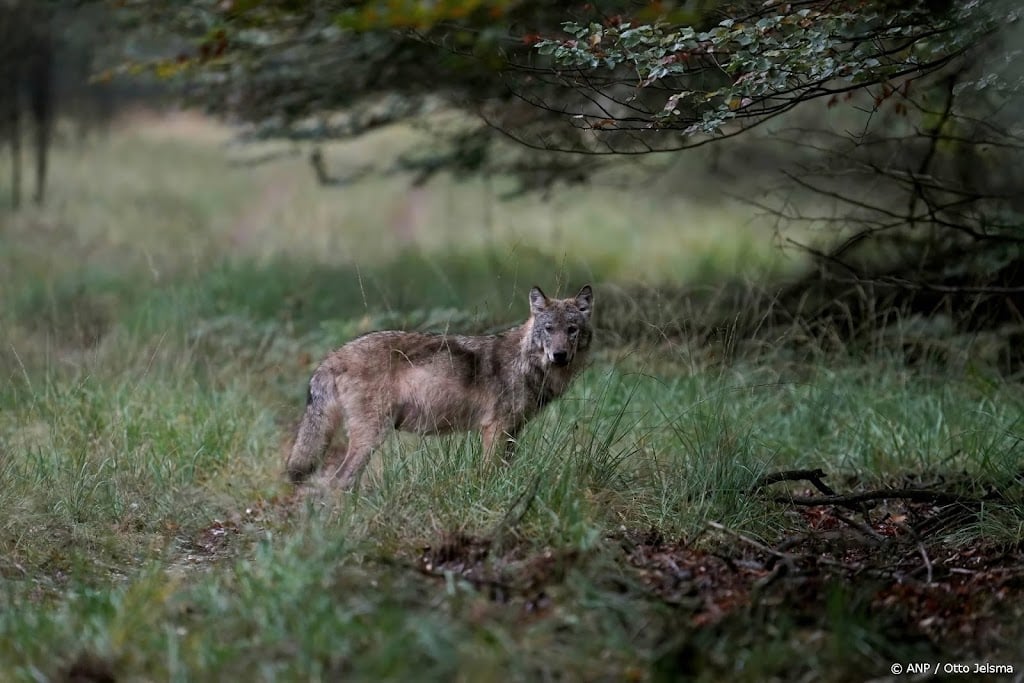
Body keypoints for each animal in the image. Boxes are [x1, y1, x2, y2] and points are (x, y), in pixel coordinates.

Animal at [286, 284, 594, 489]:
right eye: (549, 329)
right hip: (372, 436)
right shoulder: (495, 428)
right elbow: (489, 473)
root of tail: (334, 355)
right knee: (339, 481)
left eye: (572, 330)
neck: (526, 363)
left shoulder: (512, 431)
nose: (559, 355)